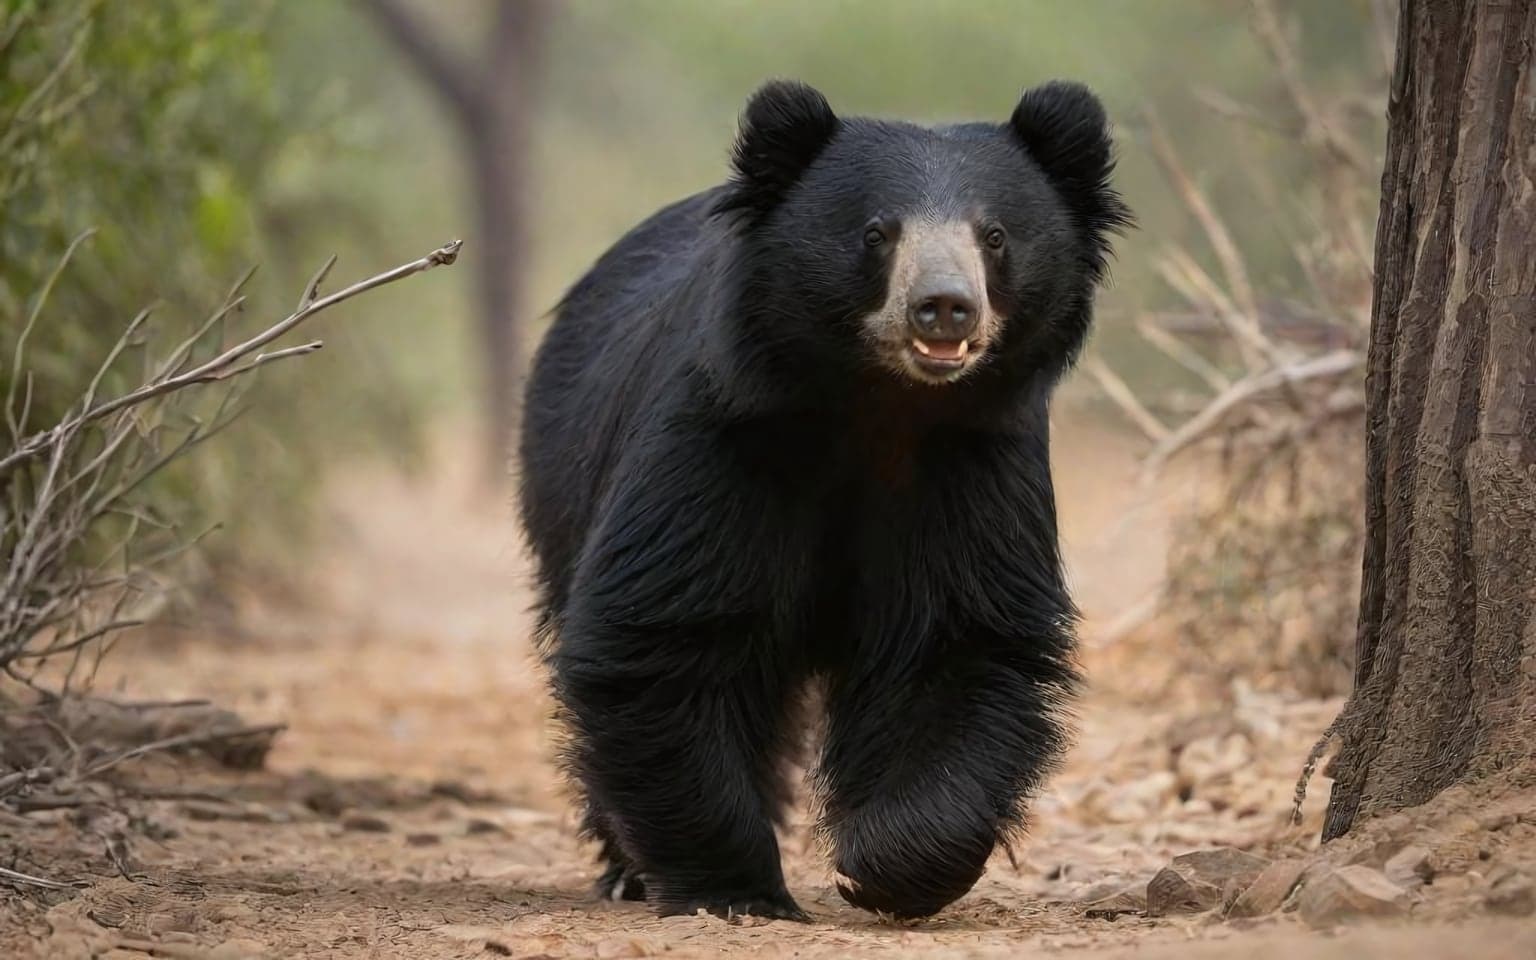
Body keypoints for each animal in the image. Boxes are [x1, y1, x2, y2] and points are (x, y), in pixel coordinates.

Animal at [518, 79, 1130, 921]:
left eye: (996, 236)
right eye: (877, 232)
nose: (945, 307)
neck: (879, 401)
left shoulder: (973, 464)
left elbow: (957, 640)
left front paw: (885, 864)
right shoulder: (723, 435)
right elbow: (666, 633)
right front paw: (736, 890)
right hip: (560, 485)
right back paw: (624, 871)